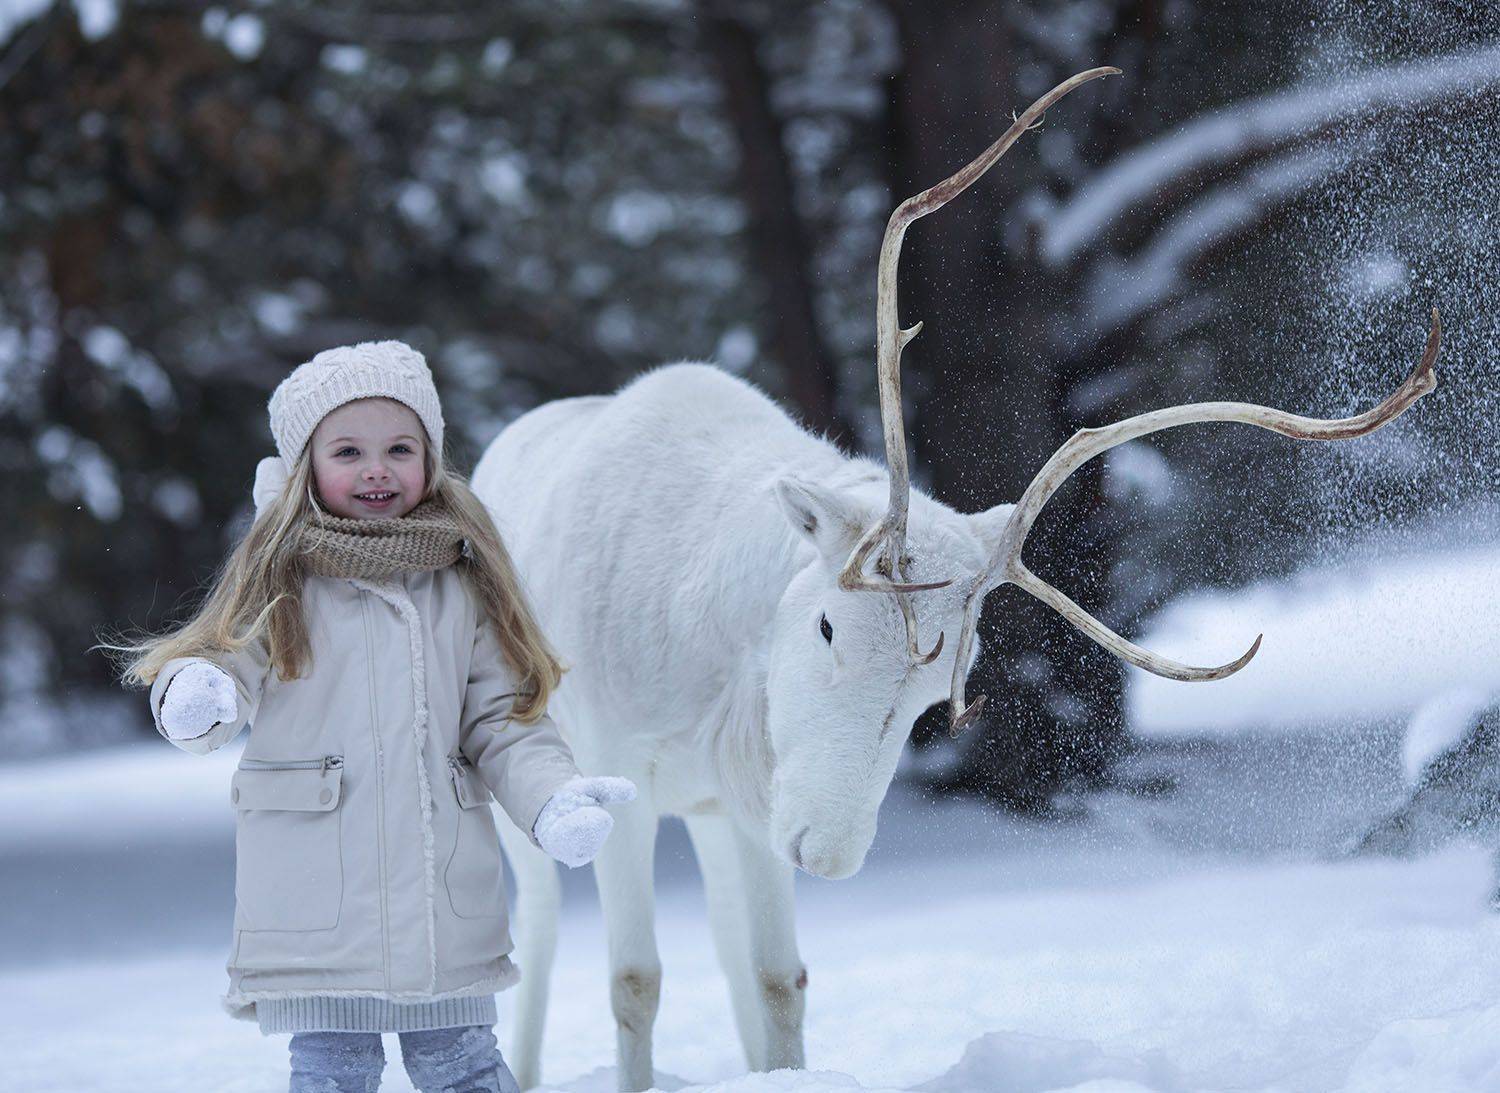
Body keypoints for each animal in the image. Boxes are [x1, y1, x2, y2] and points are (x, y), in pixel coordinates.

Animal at [470, 67, 1440, 1093]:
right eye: (825, 627)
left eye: (939, 692)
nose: (828, 852)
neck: (715, 657)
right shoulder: (617, 768)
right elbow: (633, 980)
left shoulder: (748, 798)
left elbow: (779, 977)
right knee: (537, 938)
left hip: (710, 817)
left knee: (731, 956)